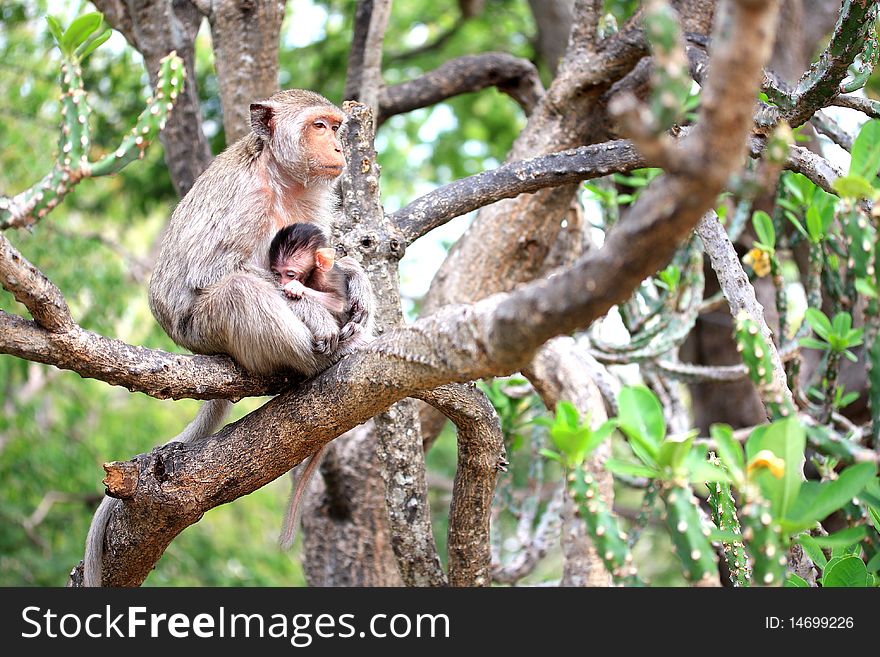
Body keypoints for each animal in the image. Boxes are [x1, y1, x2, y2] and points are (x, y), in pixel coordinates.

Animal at [82, 89, 372, 588]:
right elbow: (218, 272)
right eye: (319, 125)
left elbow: (328, 260)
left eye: (336, 127)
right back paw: (323, 359)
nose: (338, 148)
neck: (280, 177)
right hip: (205, 328)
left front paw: (353, 280)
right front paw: (314, 308)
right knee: (238, 291)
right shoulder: (246, 199)